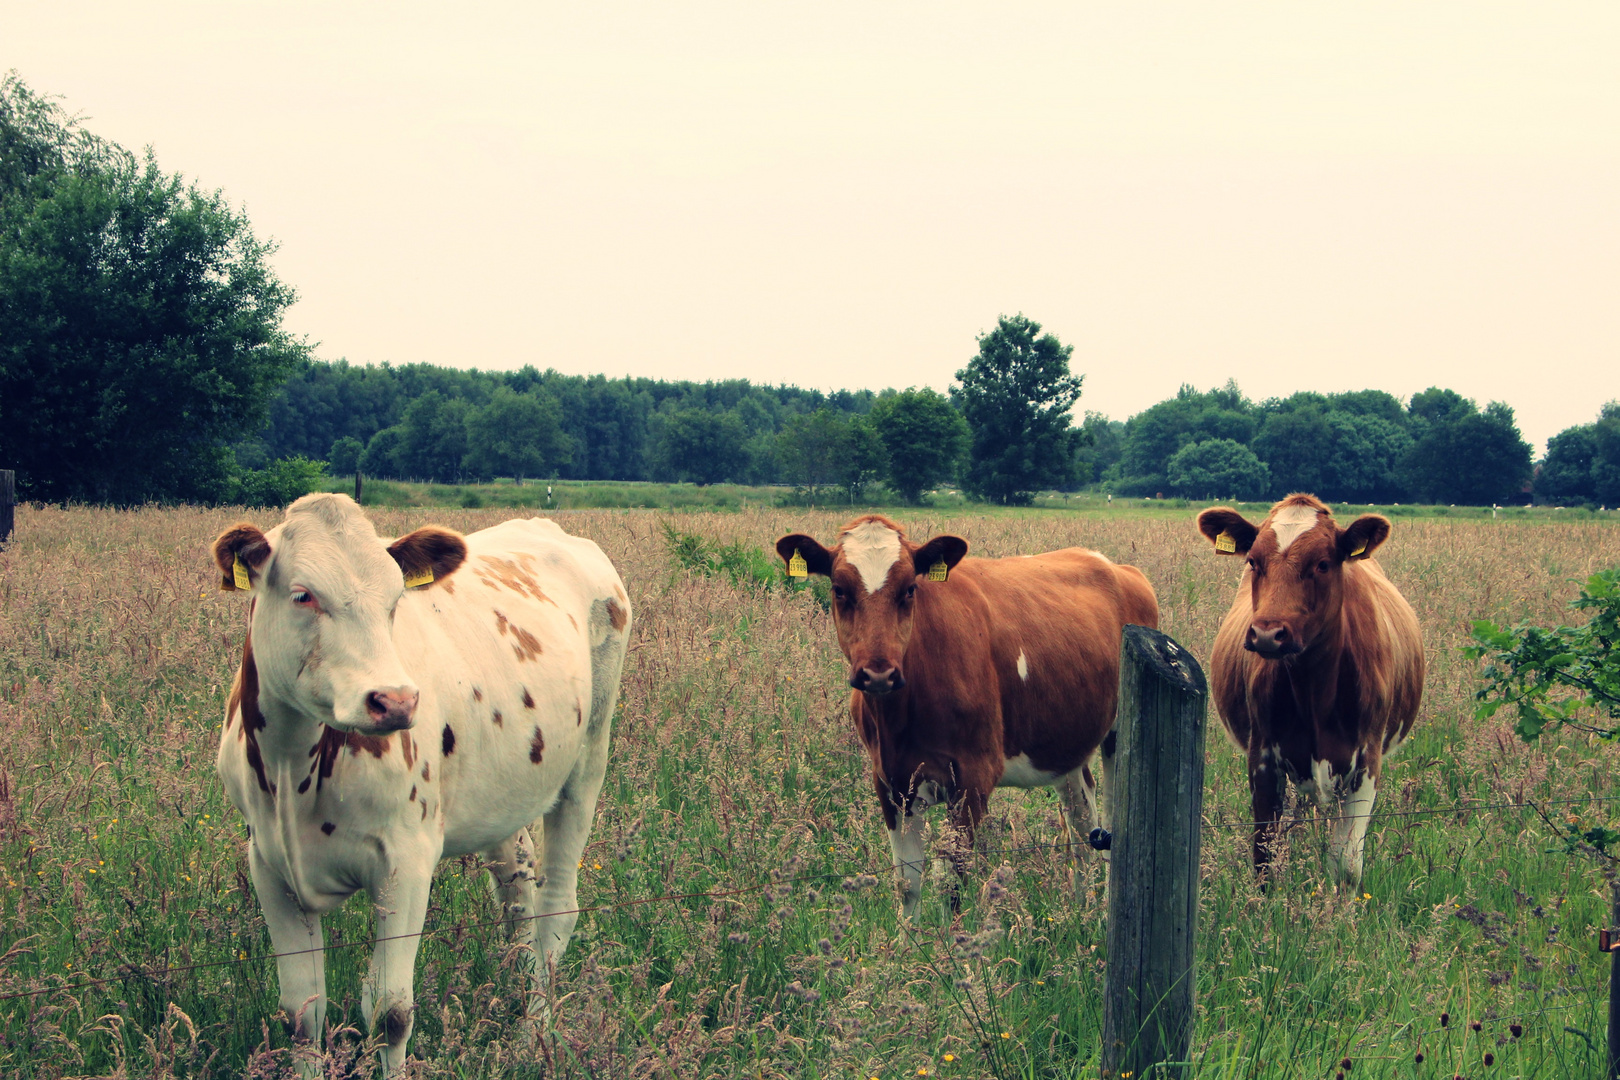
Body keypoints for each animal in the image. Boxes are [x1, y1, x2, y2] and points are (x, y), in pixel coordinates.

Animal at [208, 495, 625, 1075]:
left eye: (395, 600)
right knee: (516, 891)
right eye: (302, 594)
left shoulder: (406, 861)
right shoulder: (268, 864)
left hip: (587, 761)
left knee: (555, 907)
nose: (396, 701)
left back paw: (532, 1037)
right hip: (505, 793)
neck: (293, 770)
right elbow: (301, 1014)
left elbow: (390, 1011)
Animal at [777, 518, 1159, 919]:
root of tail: (1117, 566)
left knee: (1112, 827)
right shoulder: (890, 781)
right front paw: (910, 937)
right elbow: (907, 883)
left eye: (909, 589)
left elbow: (950, 882)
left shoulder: (973, 777)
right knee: (1083, 822)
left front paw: (951, 938)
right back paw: (1080, 908)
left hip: (1118, 737)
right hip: (1063, 743)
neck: (900, 721)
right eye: (839, 589)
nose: (878, 673)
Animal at [1198, 495, 1425, 887]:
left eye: (1322, 564)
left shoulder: (1367, 761)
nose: (1268, 634)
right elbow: (1265, 857)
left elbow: (1346, 864)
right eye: (1253, 561)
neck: (1314, 689)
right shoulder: (1263, 756)